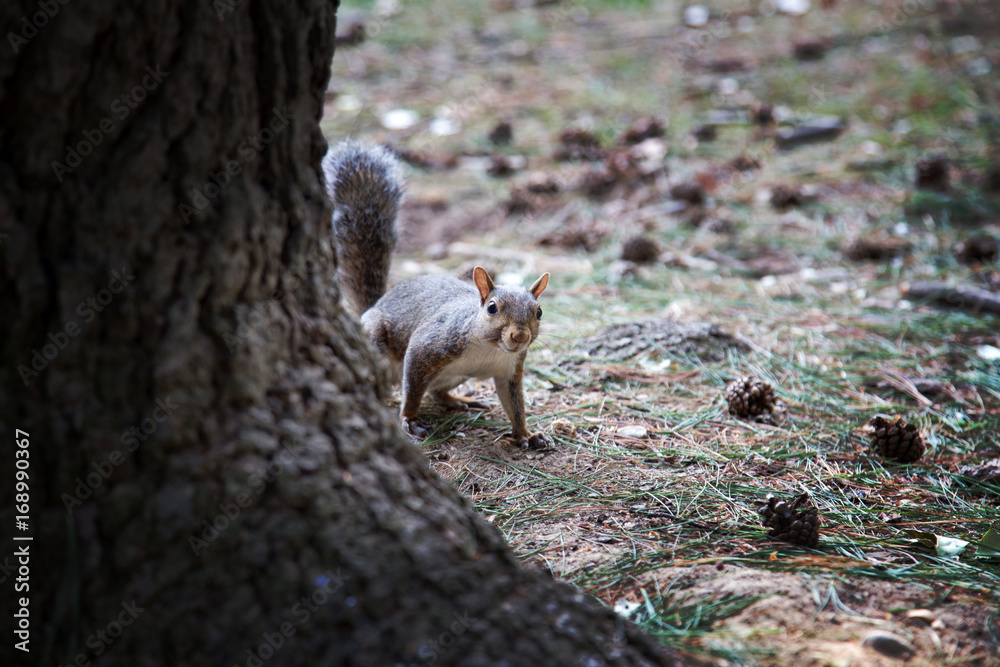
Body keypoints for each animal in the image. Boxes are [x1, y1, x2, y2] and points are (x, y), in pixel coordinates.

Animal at [323, 141, 552, 449]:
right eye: (491, 308)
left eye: (538, 311)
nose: (520, 336)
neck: (489, 347)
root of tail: (374, 305)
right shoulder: (431, 345)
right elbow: (412, 387)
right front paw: (409, 419)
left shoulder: (509, 370)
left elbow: (514, 404)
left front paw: (526, 435)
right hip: (377, 342)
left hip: (455, 375)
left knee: (436, 393)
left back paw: (461, 400)